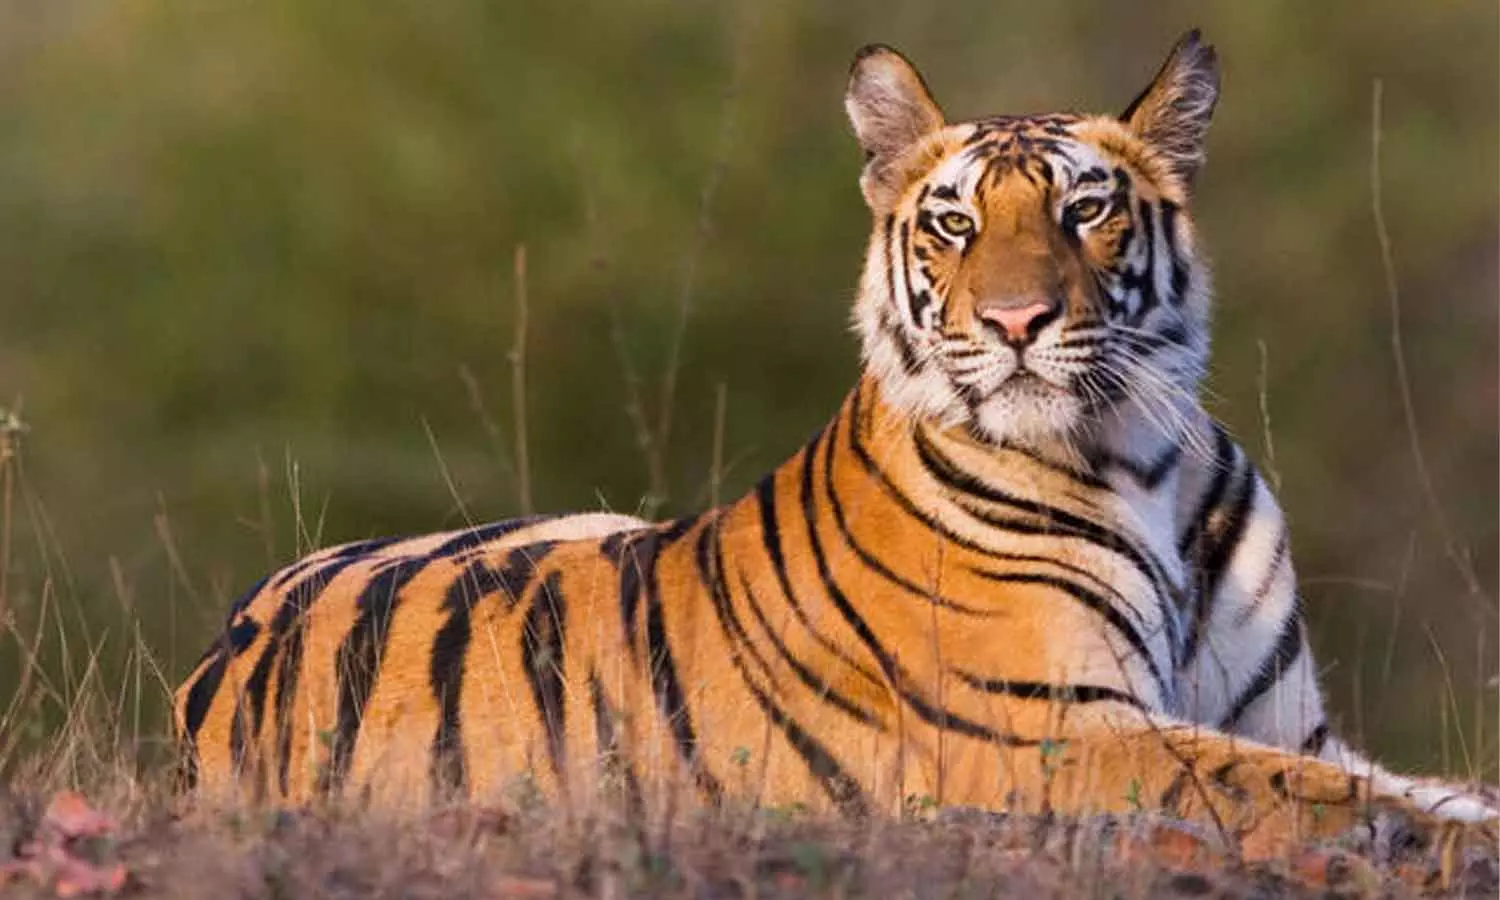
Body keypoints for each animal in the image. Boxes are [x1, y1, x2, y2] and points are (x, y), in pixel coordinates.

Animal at [174, 30, 1498, 856]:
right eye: (956, 224)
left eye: (1087, 209)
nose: (1016, 322)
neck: (1143, 461)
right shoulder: (1053, 729)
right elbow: (1304, 795)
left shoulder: (1284, 718)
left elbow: (1386, 776)